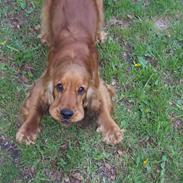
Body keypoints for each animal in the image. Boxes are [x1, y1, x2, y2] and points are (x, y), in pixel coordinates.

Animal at [16, 0, 124, 146]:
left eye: (81, 90)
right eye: (59, 86)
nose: (66, 114)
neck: (73, 56)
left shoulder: (97, 81)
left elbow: (104, 106)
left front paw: (112, 130)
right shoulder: (45, 79)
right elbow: (34, 106)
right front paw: (27, 131)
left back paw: (99, 35)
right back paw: (45, 36)